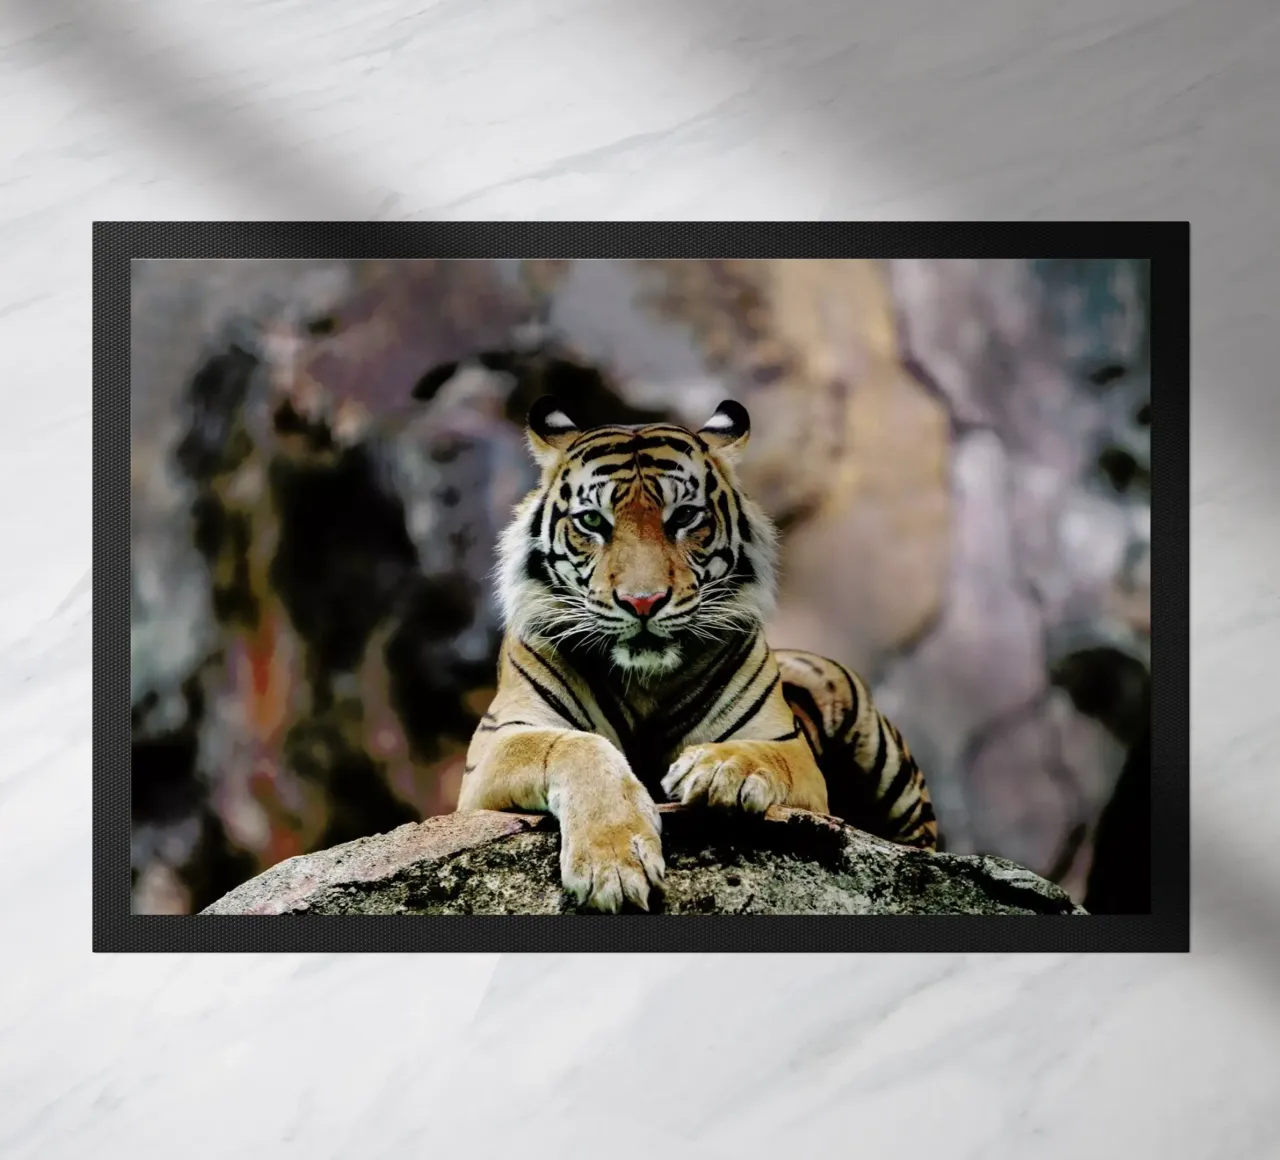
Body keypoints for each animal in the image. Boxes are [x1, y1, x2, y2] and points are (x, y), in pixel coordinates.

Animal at [455, 395, 938, 912]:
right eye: (593, 521)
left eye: (684, 517)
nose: (643, 602)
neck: (644, 680)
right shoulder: (499, 743)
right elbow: (575, 747)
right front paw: (613, 864)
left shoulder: (789, 748)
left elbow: (762, 754)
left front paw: (718, 769)